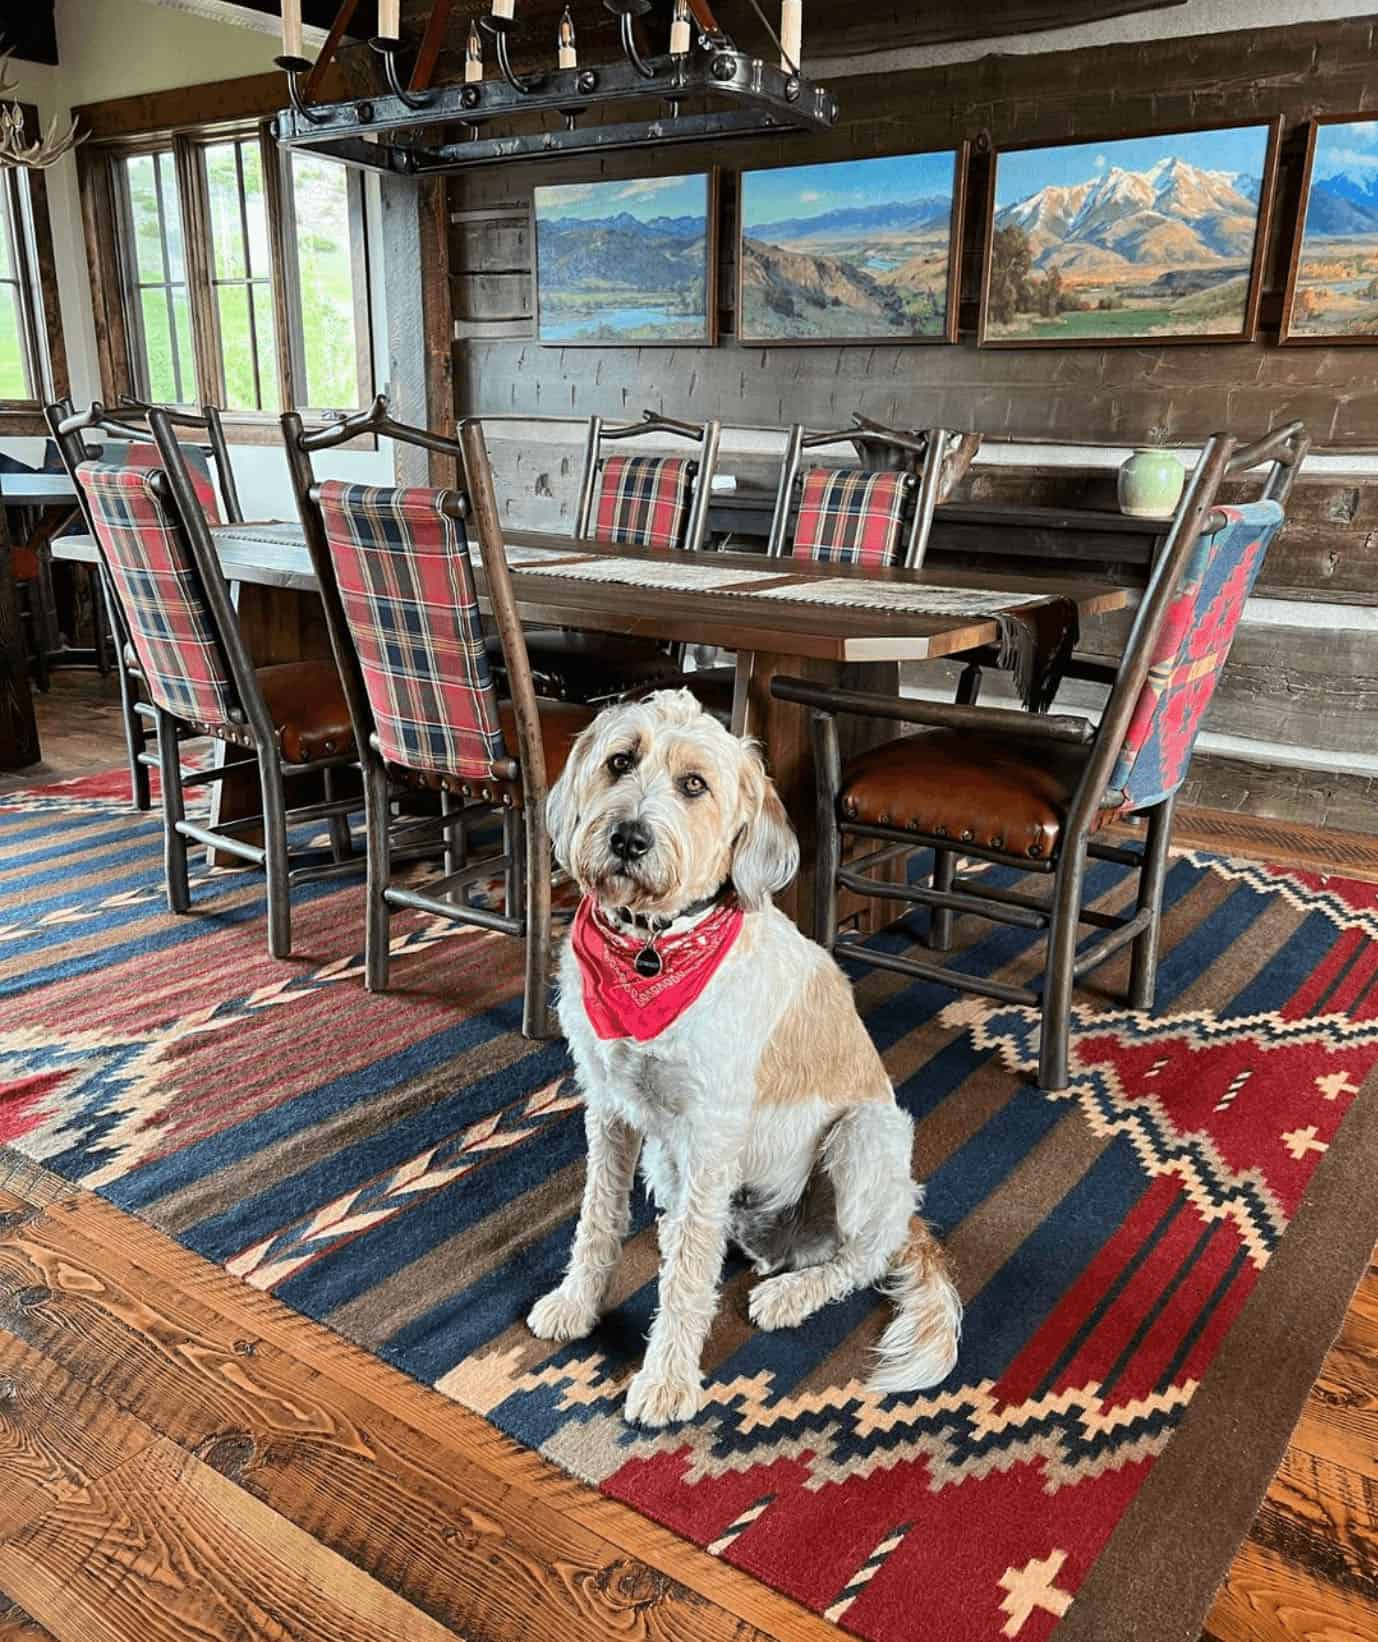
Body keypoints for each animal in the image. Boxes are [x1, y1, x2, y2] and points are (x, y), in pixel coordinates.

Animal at [528, 686, 959, 1431]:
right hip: (667, 1159)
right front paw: (578, 1303)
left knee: (856, 1259)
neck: (652, 950)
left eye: (694, 785)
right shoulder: (610, 1110)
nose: (628, 838)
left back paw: (791, 1292)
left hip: (866, 1135)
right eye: (620, 761)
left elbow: (689, 1276)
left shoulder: (710, 1131)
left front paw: (666, 1378)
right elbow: (599, 1219)